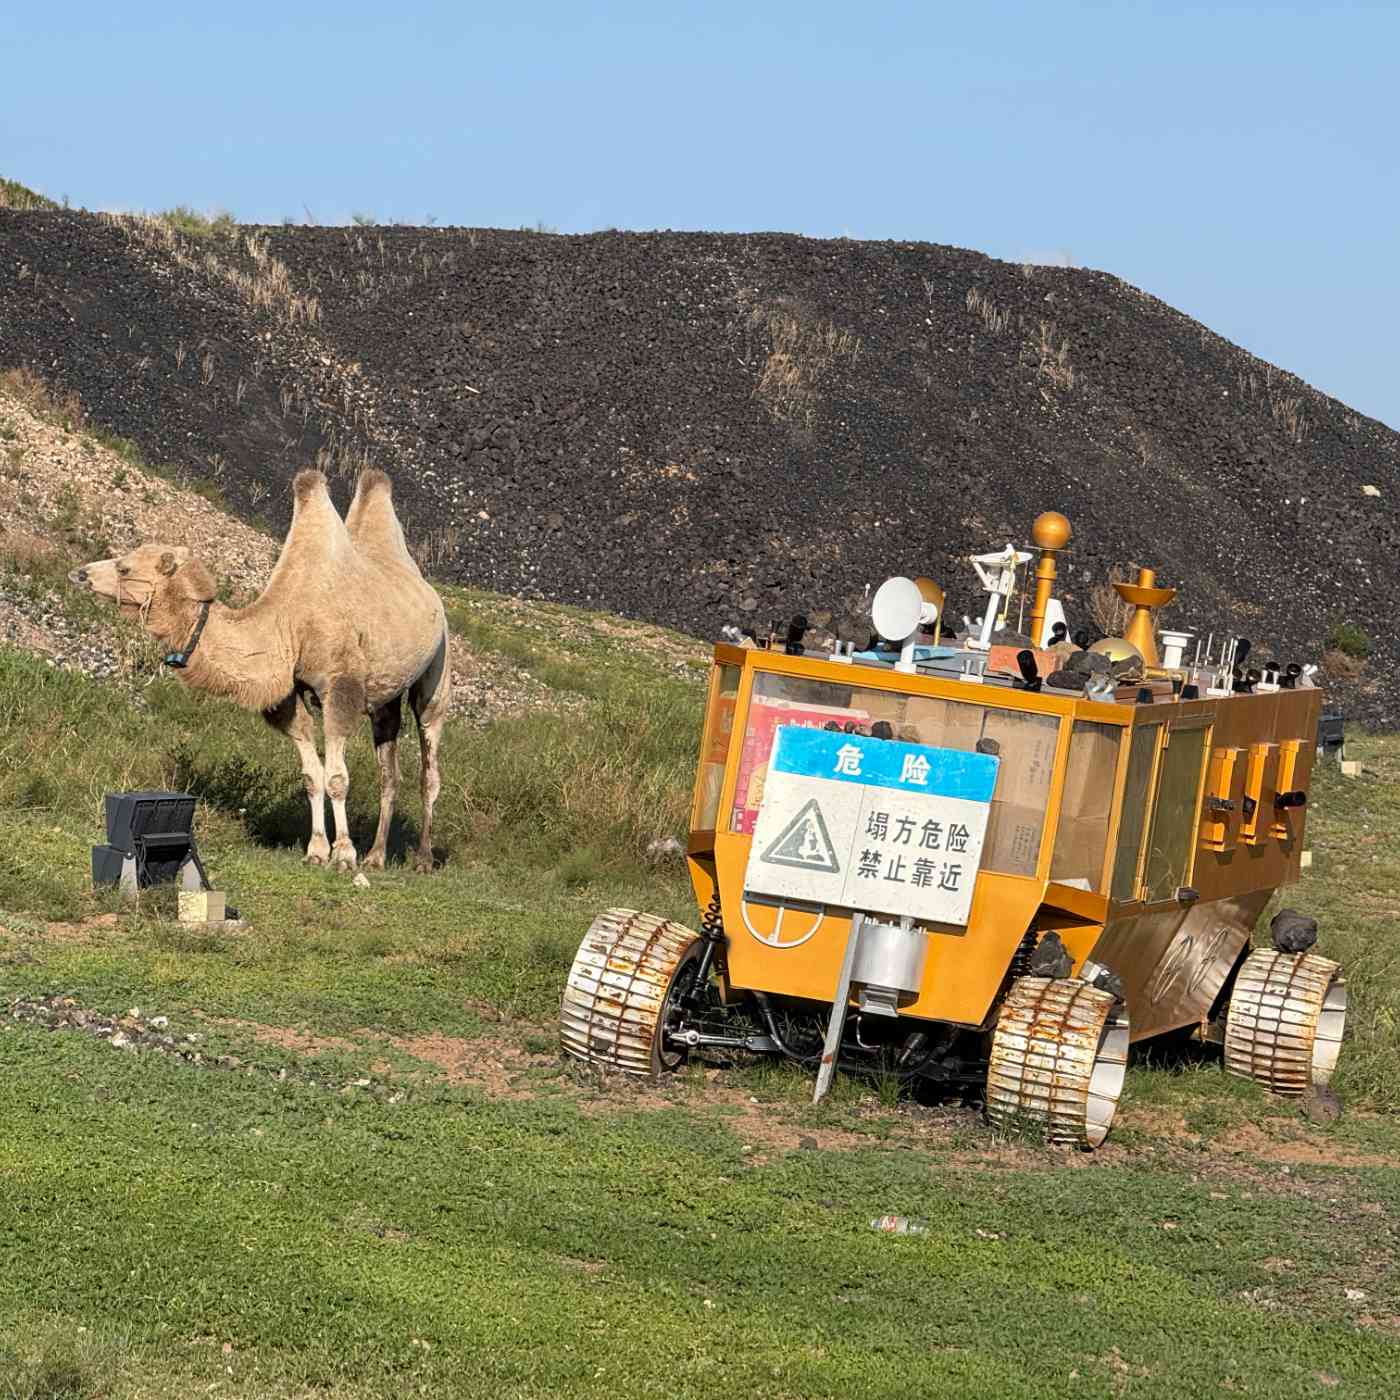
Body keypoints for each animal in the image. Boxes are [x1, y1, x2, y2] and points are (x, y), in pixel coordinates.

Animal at [69, 468, 449, 873]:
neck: (288, 623)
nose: (79, 573)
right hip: (384, 696)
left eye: (124, 567)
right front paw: (317, 850)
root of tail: (429, 592)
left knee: (429, 763)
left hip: (438, 666)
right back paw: (376, 856)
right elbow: (311, 776)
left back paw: (422, 858)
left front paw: (344, 854)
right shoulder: (288, 696)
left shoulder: (340, 687)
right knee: (389, 770)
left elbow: (336, 777)